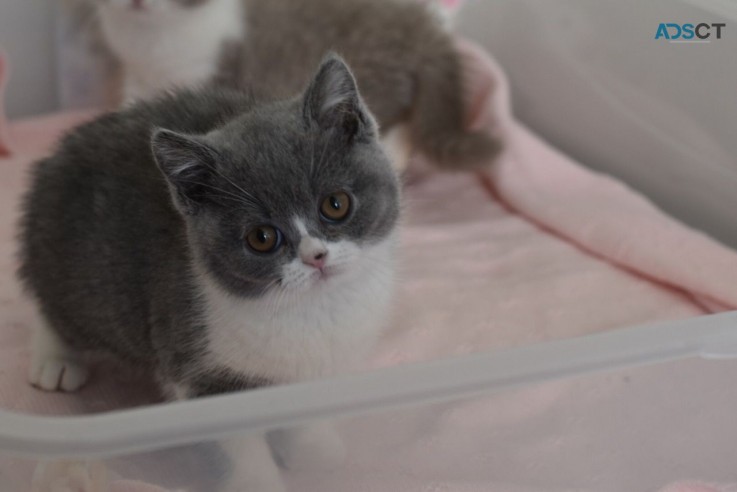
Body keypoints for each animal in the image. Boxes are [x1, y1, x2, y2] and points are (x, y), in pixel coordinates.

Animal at [17, 55, 400, 490]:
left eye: (335, 204)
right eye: (262, 237)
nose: (315, 256)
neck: (313, 310)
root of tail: (56, 155)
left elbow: (304, 410)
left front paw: (314, 451)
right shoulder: (198, 372)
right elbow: (236, 442)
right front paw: (258, 482)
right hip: (85, 281)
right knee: (53, 307)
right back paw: (55, 361)